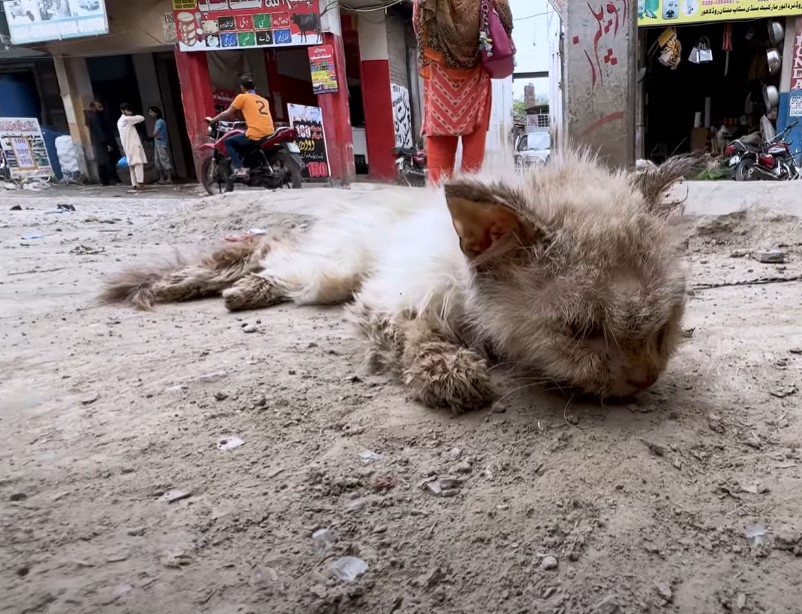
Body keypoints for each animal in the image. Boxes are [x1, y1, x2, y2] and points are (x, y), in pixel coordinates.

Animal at [100, 150, 692, 414]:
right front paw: (450, 374)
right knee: (265, 249)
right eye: (581, 332)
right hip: (331, 271)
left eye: (664, 326)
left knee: (269, 258)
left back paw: (236, 293)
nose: (644, 380)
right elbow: (417, 336)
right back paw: (195, 286)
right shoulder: (389, 299)